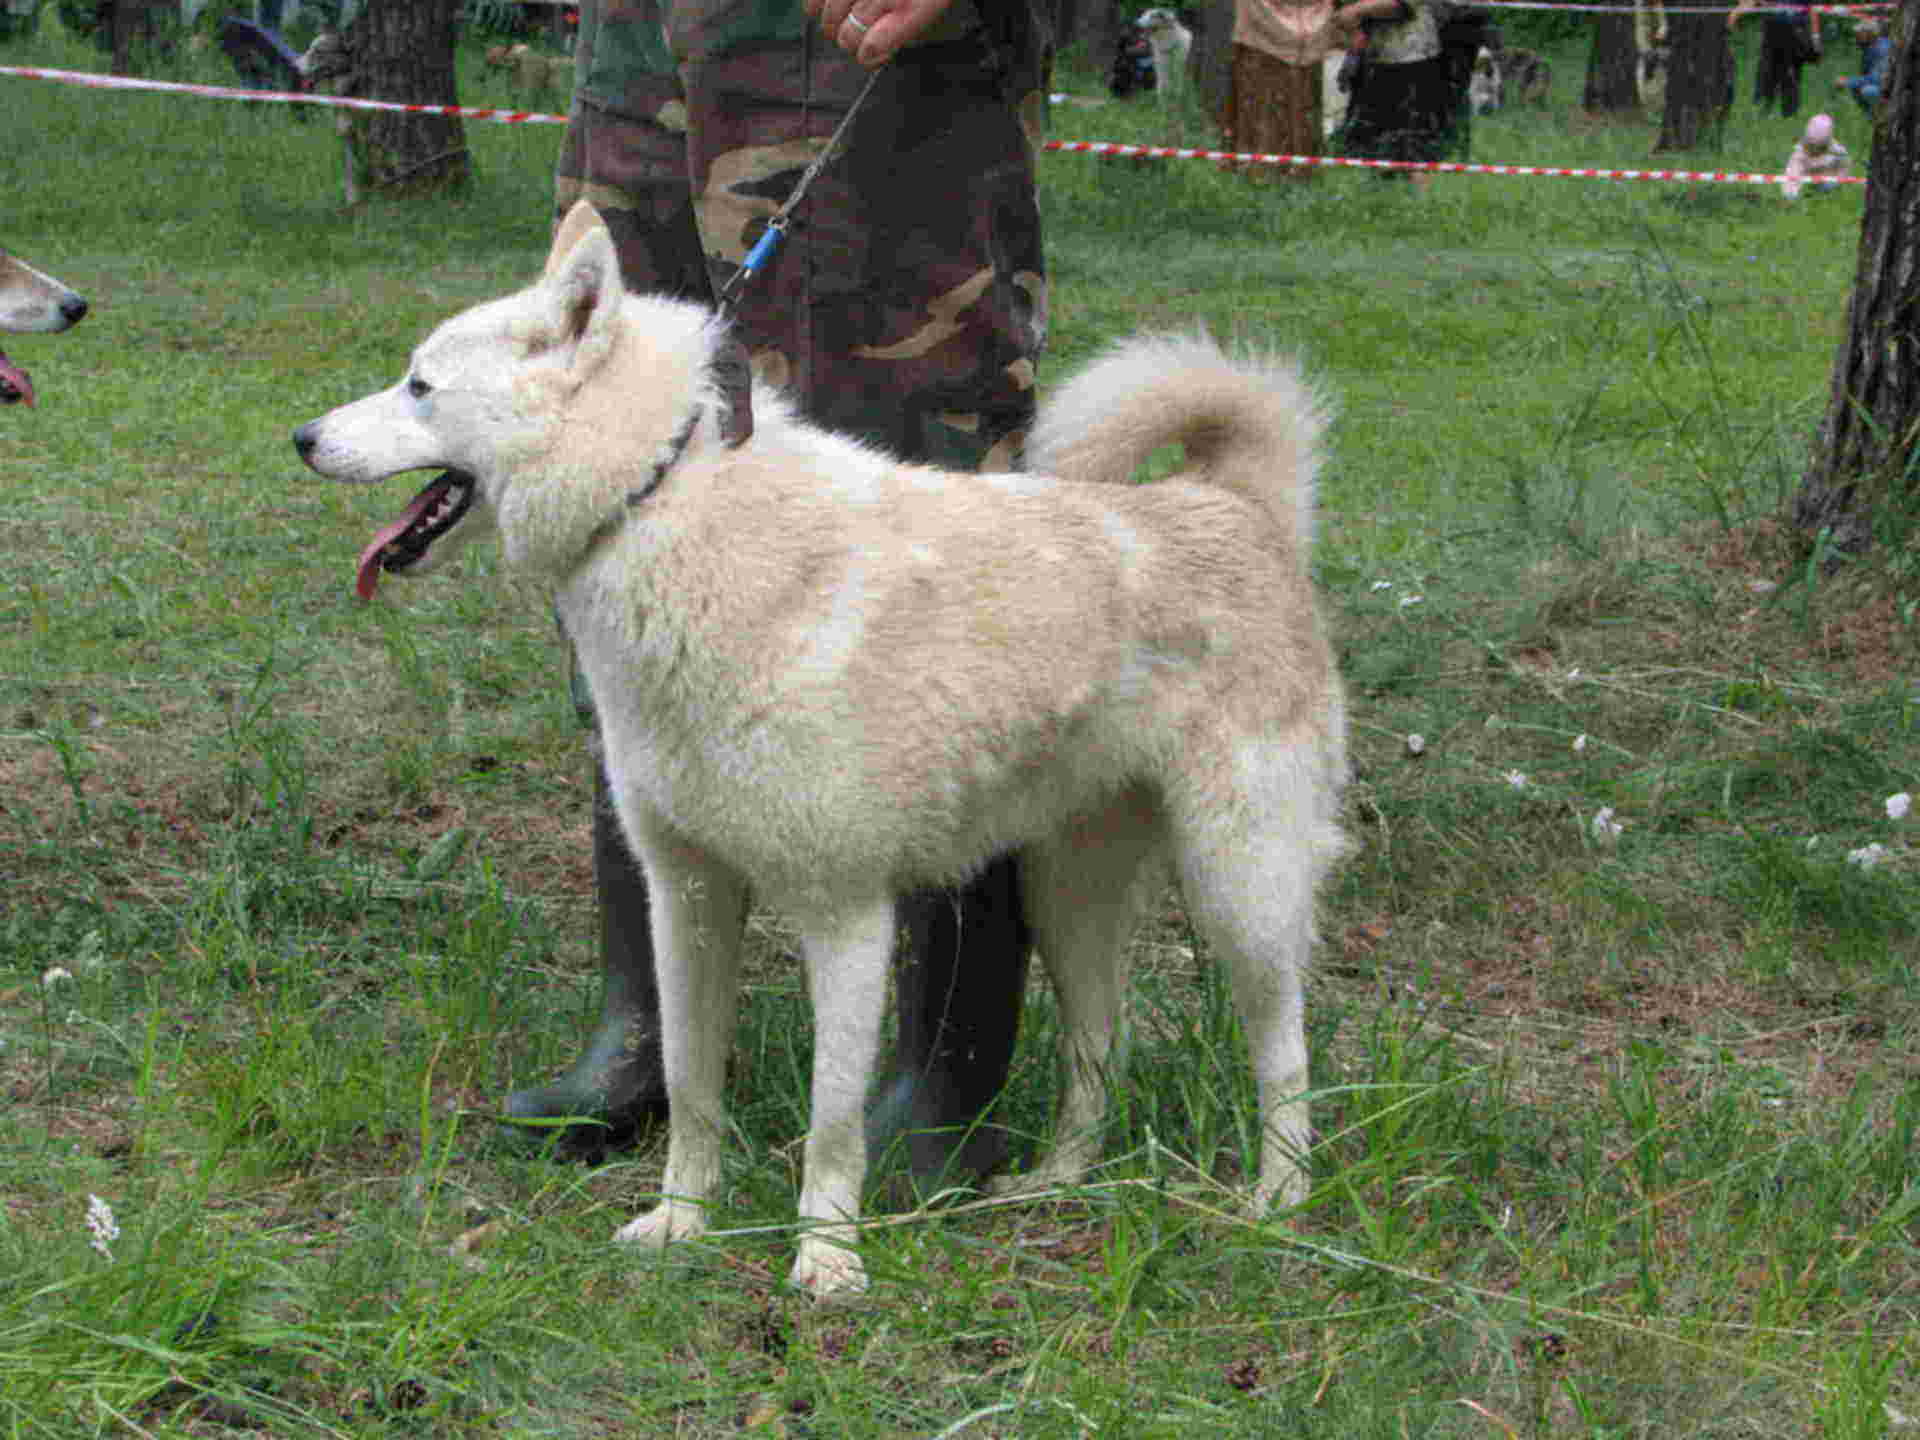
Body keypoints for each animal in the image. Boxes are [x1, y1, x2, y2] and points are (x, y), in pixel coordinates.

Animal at [295, 200, 1351, 1297]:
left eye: (419, 386)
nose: (302, 438)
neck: (659, 501)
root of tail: (1240, 505)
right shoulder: (686, 897)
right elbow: (692, 1086)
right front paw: (680, 1224)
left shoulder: (844, 915)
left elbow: (832, 1121)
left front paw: (826, 1259)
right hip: (1068, 900)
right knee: (1102, 1049)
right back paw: (1053, 1181)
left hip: (1239, 887)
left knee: (1284, 1049)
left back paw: (1278, 1200)